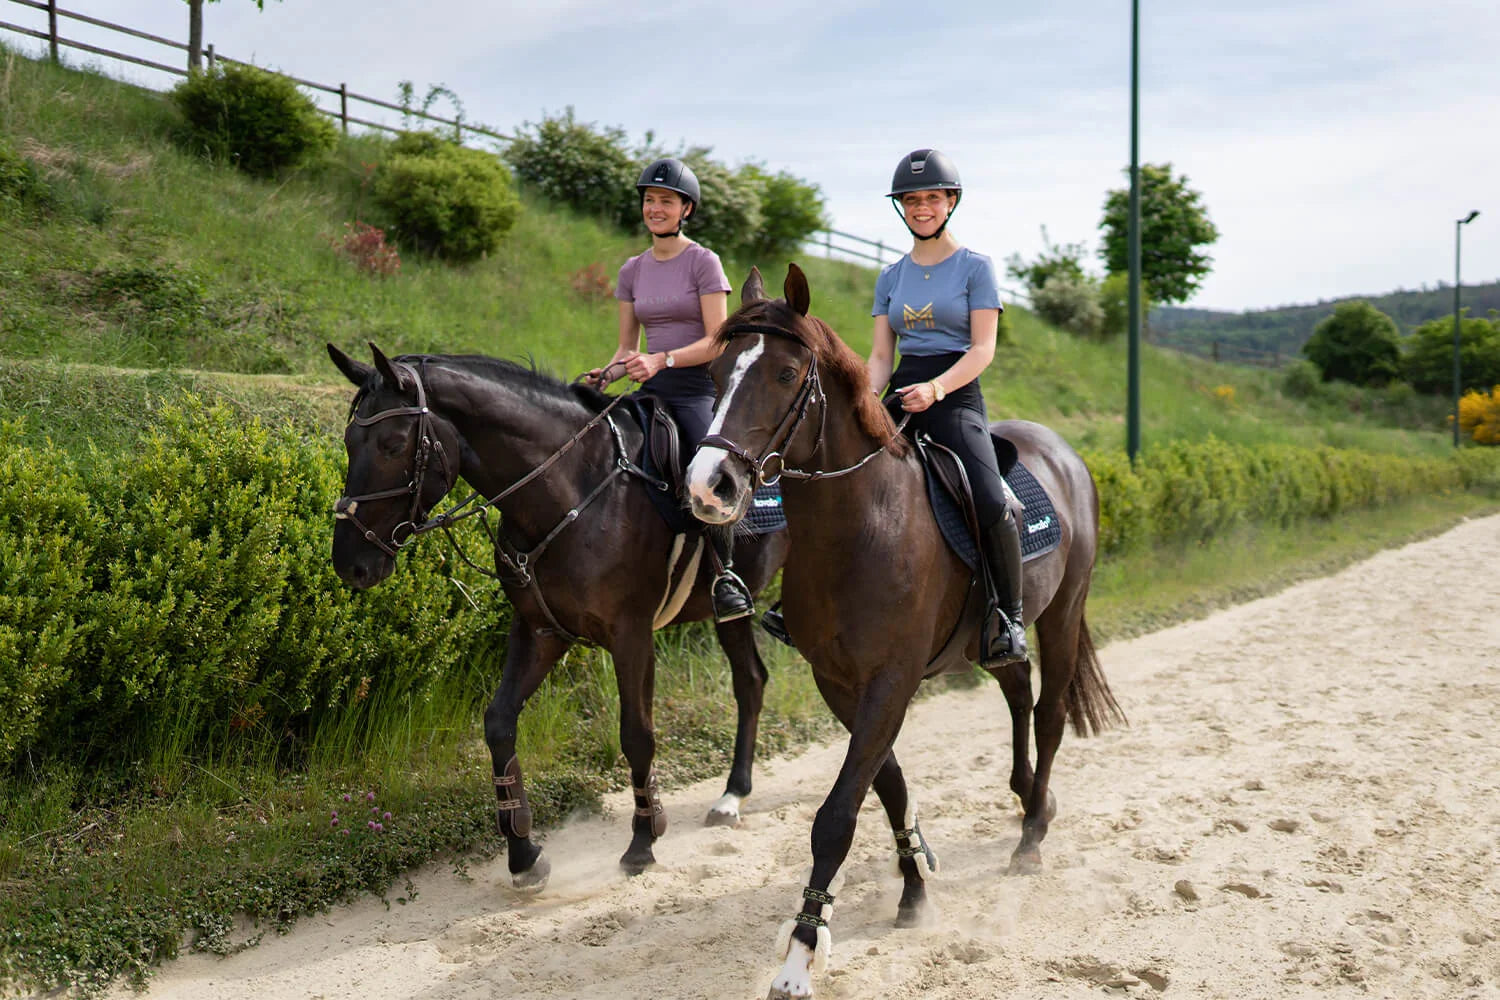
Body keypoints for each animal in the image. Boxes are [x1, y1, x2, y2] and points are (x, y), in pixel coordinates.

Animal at [327, 343, 789, 888]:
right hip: (730, 618)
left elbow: (637, 735)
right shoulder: (540, 630)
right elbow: (499, 722)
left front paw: (643, 839)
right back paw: (732, 795)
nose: (350, 563)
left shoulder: (631, 634)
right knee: (751, 681)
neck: (570, 490)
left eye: (394, 443)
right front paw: (523, 852)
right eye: (349, 441)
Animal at [684, 266, 1124, 999]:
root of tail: (1062, 450)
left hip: (1064, 613)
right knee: (1017, 691)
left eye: (784, 373)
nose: (707, 486)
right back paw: (1028, 796)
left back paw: (1032, 833)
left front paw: (801, 953)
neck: (863, 524)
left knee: (1051, 710)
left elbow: (836, 815)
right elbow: (886, 783)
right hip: (999, 637)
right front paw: (914, 884)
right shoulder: (840, 683)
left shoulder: (890, 681)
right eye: (716, 371)